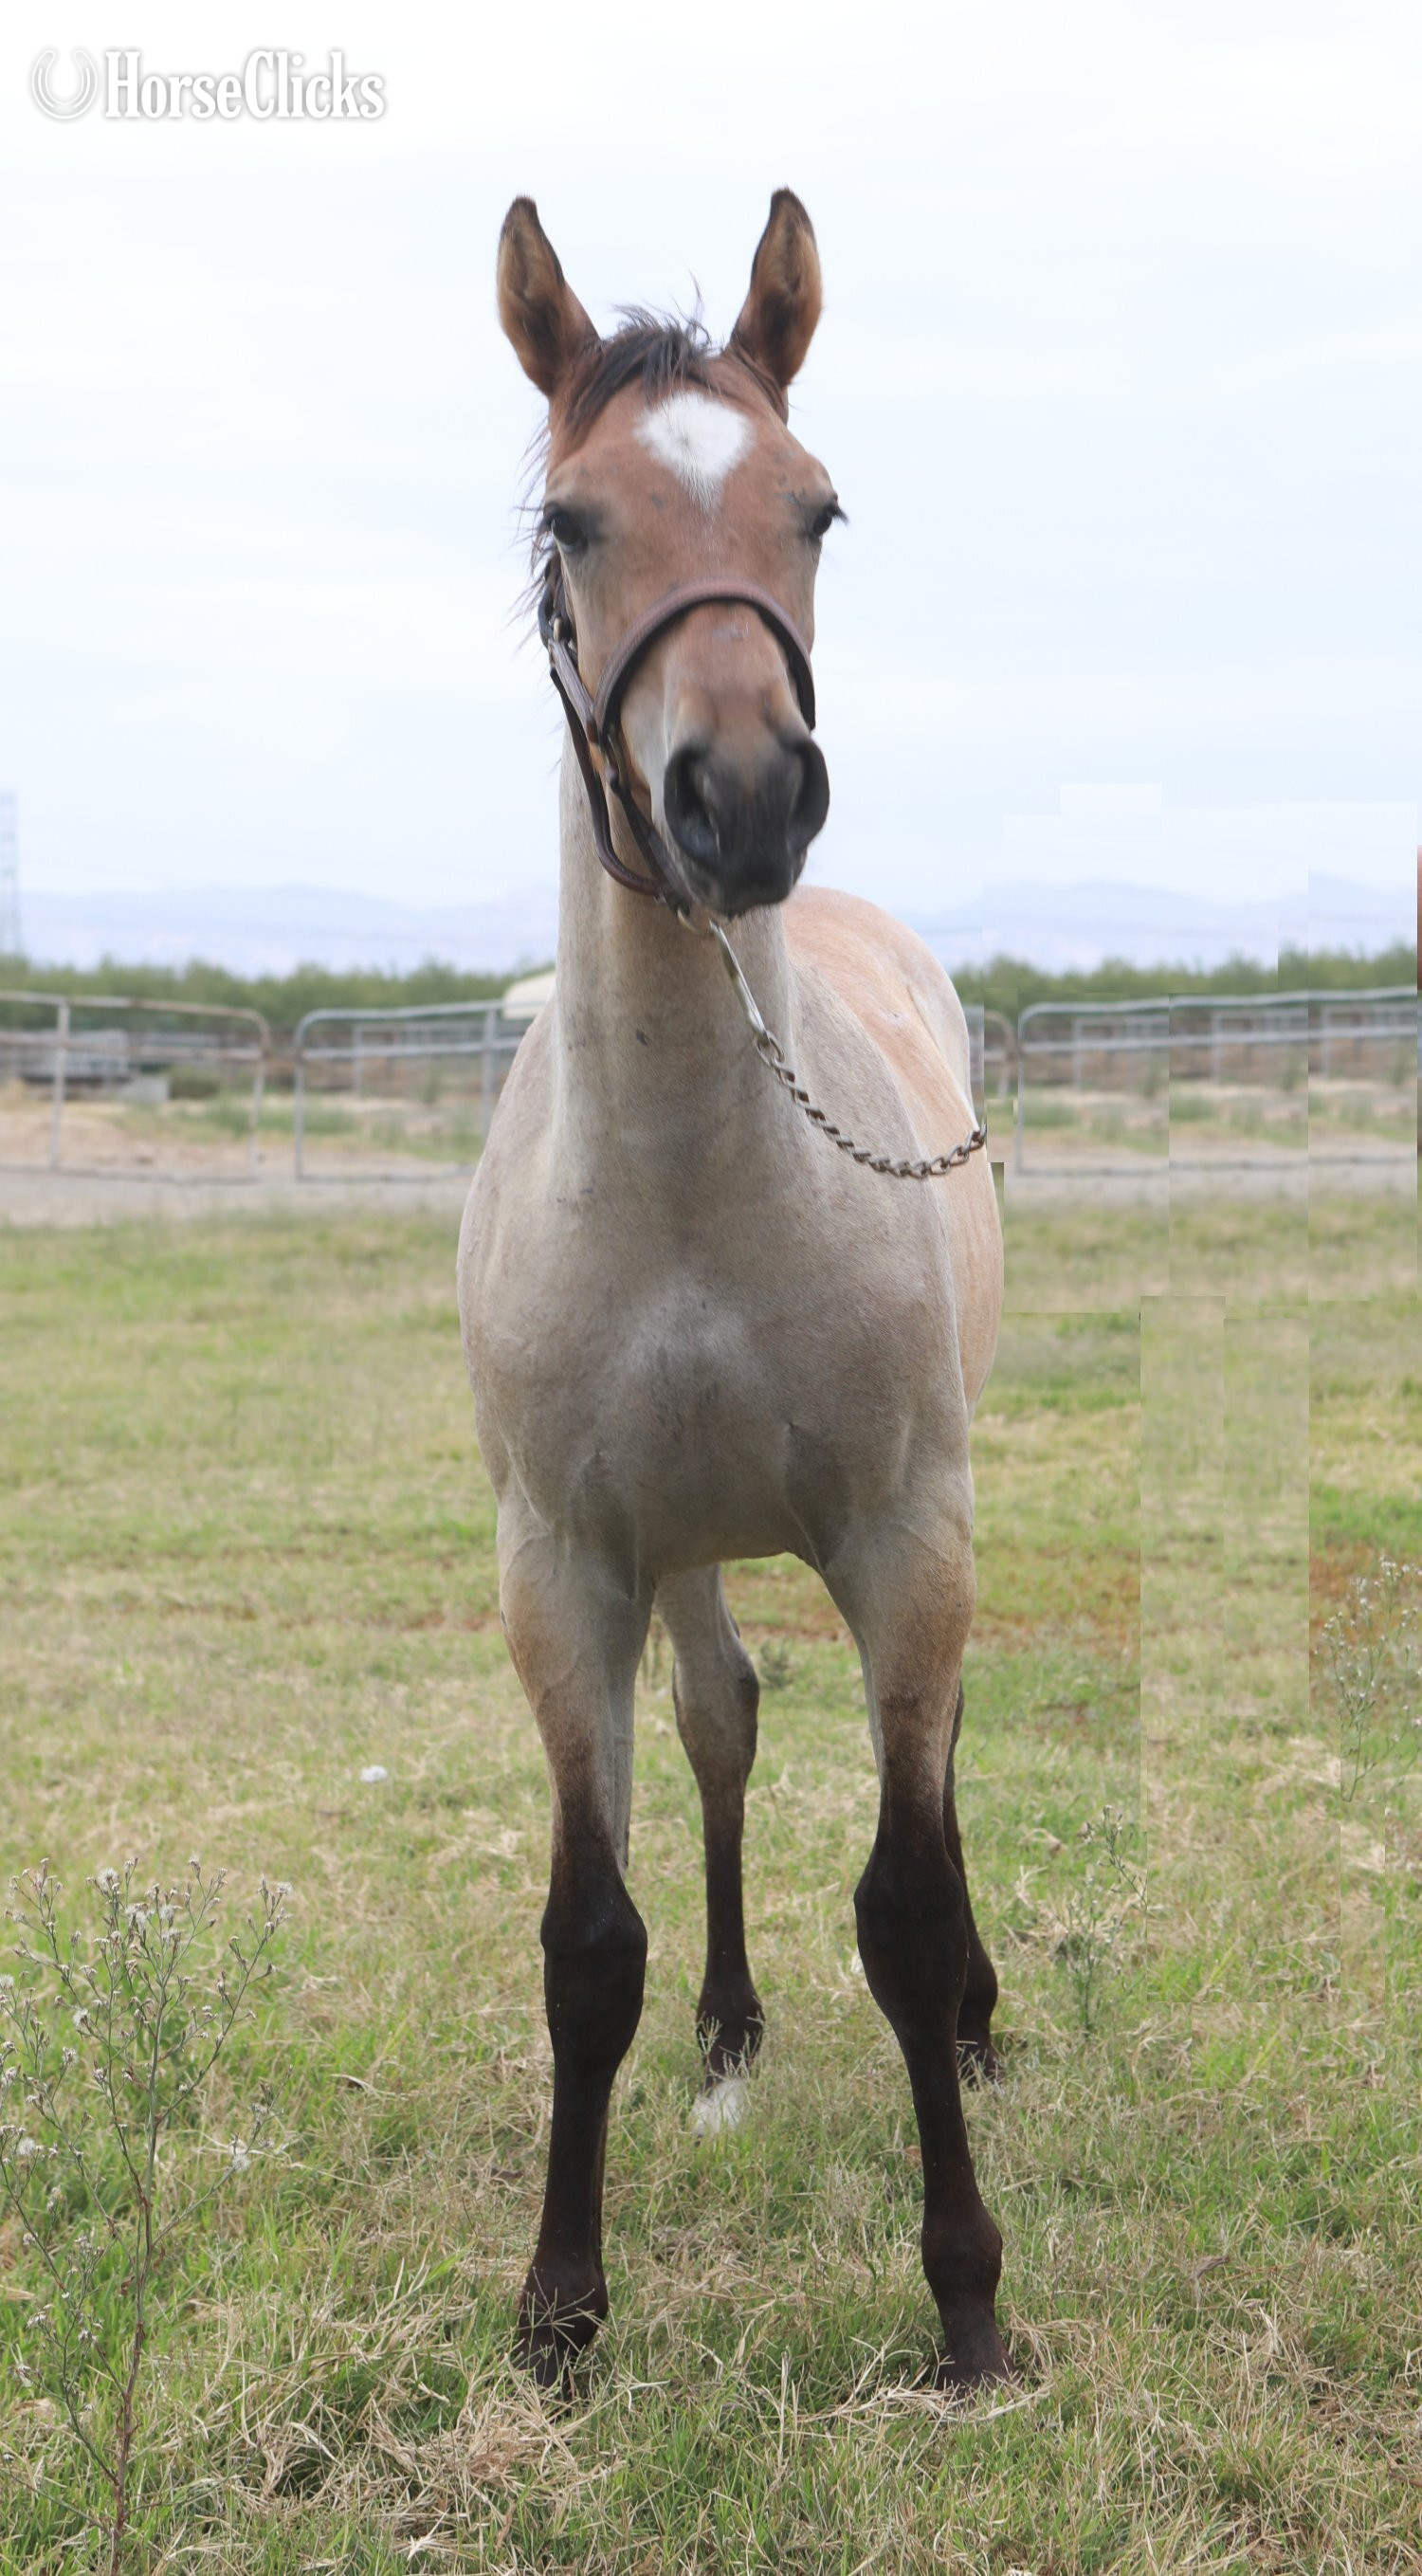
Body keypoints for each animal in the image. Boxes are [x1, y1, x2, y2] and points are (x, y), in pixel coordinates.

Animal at [459, 190, 1010, 2388]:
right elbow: (582, 1941)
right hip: (684, 1546)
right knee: (719, 1723)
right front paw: (560, 2308)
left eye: (818, 508)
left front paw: (971, 2299)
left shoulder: (905, 1532)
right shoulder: (570, 1568)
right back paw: (725, 2024)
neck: (701, 1179)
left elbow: (908, 1904)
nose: (747, 798)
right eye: (570, 523)